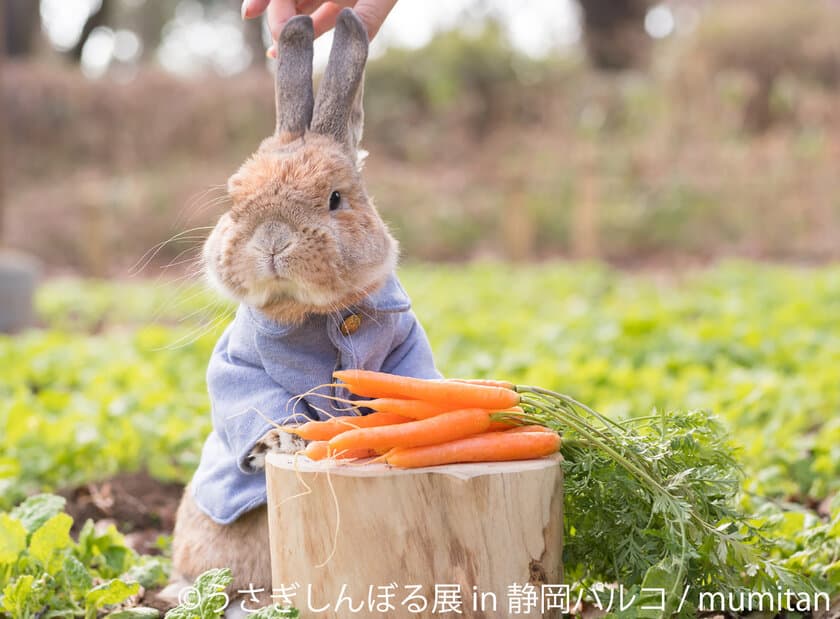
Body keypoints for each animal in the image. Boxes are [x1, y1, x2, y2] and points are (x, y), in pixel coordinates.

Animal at [162, 7, 442, 612]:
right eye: (234, 198)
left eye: (335, 199)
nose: (271, 240)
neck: (318, 315)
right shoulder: (239, 363)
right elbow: (257, 398)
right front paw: (285, 440)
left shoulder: (406, 348)